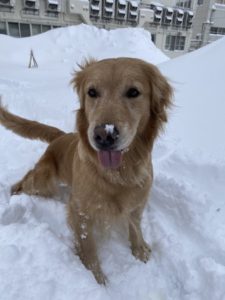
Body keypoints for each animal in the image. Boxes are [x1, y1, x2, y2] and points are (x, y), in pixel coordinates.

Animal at [0, 57, 171, 284]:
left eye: (134, 92)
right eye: (92, 92)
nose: (104, 135)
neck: (118, 175)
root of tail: (61, 136)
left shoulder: (138, 202)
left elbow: (135, 227)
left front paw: (139, 249)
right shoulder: (80, 211)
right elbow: (88, 246)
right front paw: (96, 279)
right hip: (43, 180)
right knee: (25, 181)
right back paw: (13, 194)